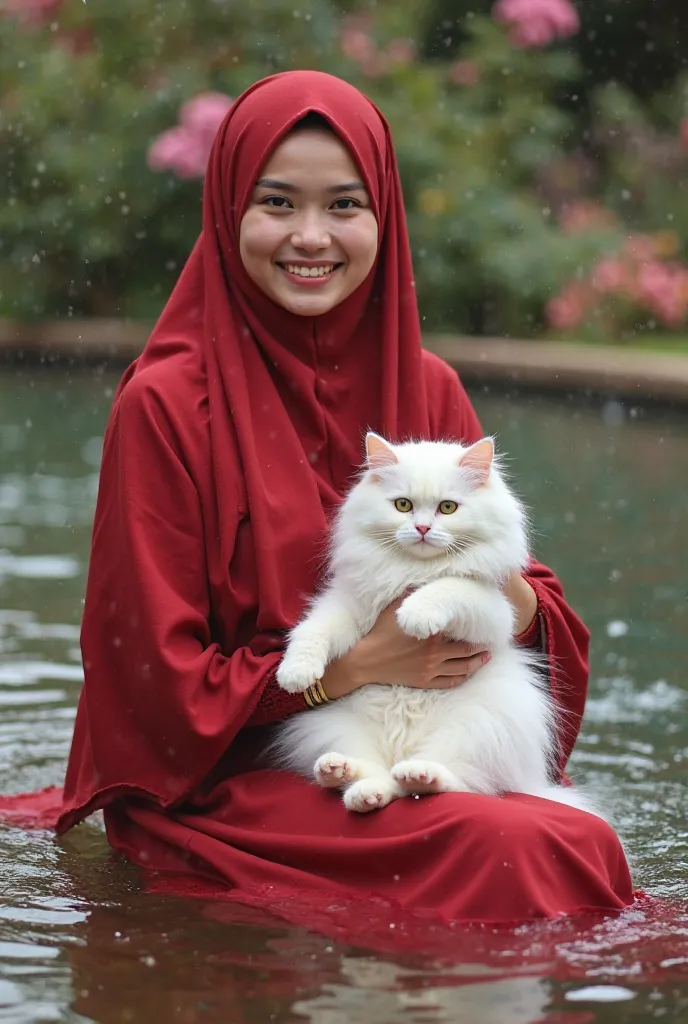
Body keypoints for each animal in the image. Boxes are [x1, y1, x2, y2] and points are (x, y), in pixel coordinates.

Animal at [274, 430, 602, 815]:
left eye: (448, 508)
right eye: (403, 505)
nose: (422, 528)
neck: (414, 569)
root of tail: (401, 755)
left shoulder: (492, 610)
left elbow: (446, 587)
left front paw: (413, 616)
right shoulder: (346, 606)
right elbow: (312, 632)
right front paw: (295, 675)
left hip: (479, 729)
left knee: (450, 781)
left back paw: (416, 775)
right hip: (336, 726)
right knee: (377, 776)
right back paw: (346, 779)